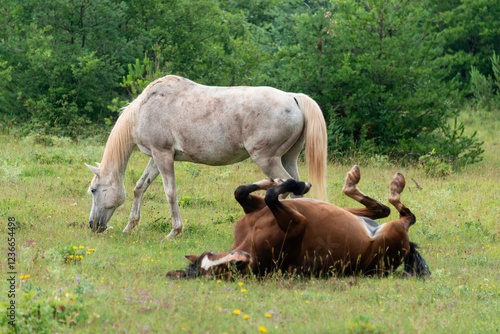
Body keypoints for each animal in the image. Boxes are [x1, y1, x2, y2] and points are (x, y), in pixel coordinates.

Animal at [86, 75, 328, 237]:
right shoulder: (156, 156)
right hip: (288, 158)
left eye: (93, 190)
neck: (145, 108)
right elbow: (139, 187)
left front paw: (175, 231)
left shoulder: (162, 155)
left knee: (289, 185)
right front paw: (130, 227)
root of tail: (292, 97)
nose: (93, 225)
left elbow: (170, 192)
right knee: (298, 189)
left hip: (266, 159)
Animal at [167, 166, 430, 278]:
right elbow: (271, 196)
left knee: (381, 209)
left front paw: (274, 180)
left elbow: (241, 191)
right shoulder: (298, 223)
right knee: (404, 215)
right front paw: (294, 183)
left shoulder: (256, 209)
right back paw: (394, 186)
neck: (251, 239)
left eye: (211, 254)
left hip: (354, 215)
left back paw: (353, 180)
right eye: (229, 271)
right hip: (395, 232)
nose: (240, 259)